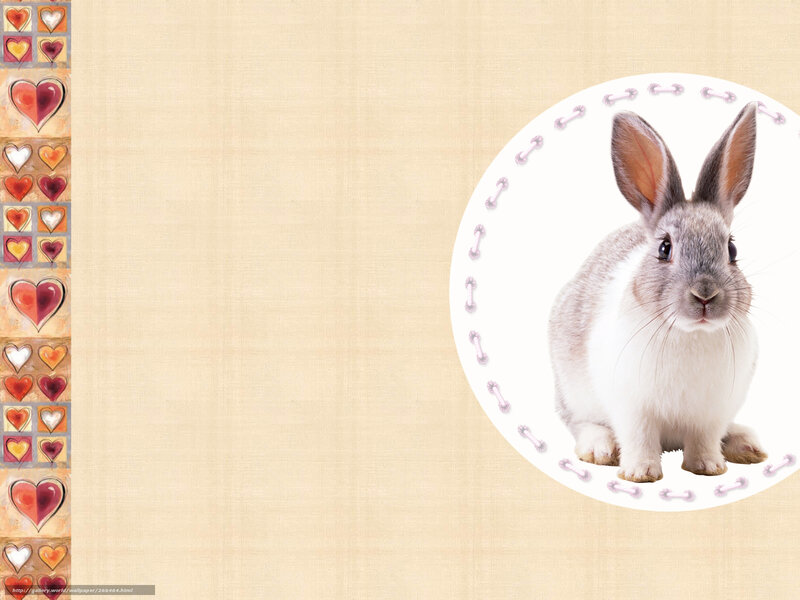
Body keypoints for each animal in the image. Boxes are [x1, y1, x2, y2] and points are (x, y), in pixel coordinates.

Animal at [548, 102, 767, 483]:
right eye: (665, 248)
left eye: (732, 249)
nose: (705, 295)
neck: (691, 333)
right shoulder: (632, 408)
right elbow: (639, 438)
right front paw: (640, 473)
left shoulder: (711, 413)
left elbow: (705, 440)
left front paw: (709, 468)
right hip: (574, 393)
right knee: (580, 422)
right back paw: (599, 448)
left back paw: (745, 445)